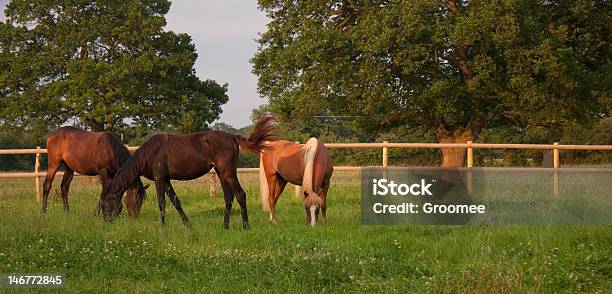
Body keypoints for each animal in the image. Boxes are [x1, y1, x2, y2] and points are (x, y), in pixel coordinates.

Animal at [101, 115, 278, 230]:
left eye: (105, 204)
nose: (106, 221)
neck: (150, 153)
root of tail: (233, 137)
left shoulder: (159, 178)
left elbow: (161, 202)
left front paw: (162, 226)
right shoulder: (166, 180)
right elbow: (176, 202)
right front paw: (187, 224)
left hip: (228, 173)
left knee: (240, 195)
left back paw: (246, 226)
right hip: (221, 173)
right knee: (229, 197)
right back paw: (225, 226)